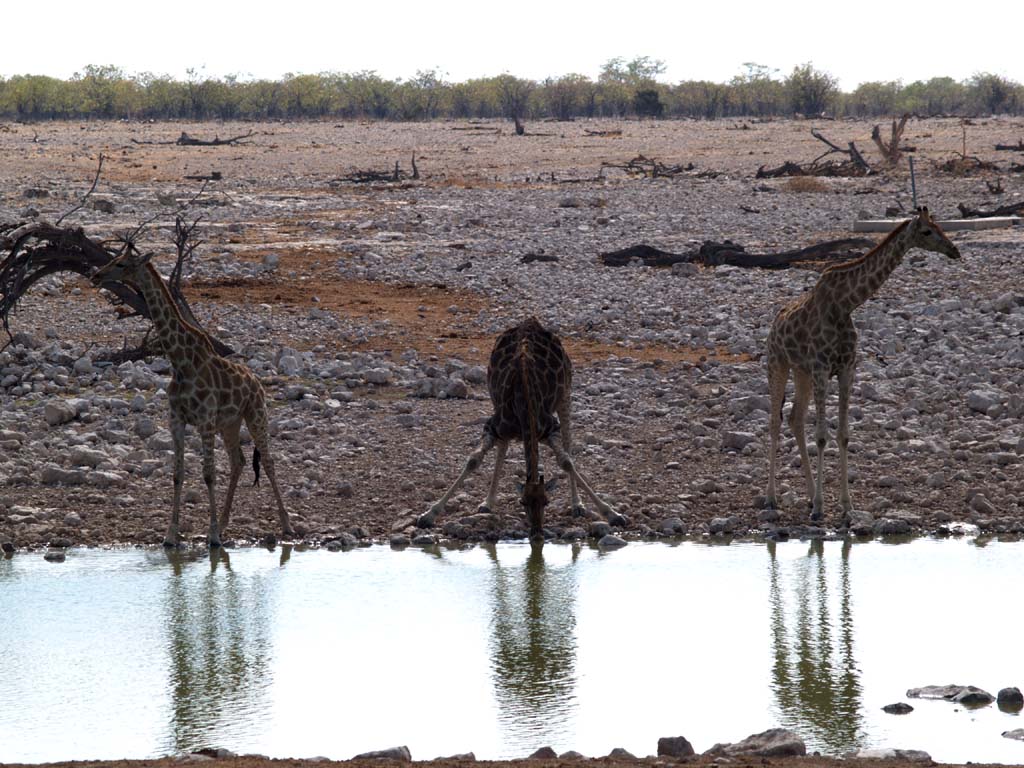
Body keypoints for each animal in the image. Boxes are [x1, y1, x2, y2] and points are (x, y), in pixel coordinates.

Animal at [91, 250, 293, 547]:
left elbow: (208, 474)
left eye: (121, 263)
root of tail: (257, 382)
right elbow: (178, 474)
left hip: (256, 414)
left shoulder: (205, 421)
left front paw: (211, 535)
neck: (180, 361)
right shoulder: (177, 420)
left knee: (267, 462)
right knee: (239, 462)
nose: (96, 275)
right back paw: (225, 524)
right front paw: (171, 535)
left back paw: (286, 525)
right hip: (230, 423)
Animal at [418, 317, 625, 539]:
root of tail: (531, 321)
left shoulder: (551, 428)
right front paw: (428, 515)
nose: (537, 533)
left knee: (568, 442)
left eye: (546, 502)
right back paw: (488, 503)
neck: (524, 401)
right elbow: (473, 460)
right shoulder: (492, 425)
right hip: (494, 399)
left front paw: (612, 514)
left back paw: (577, 505)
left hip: (566, 392)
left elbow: (566, 462)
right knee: (504, 446)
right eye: (522, 502)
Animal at [765, 208, 960, 521]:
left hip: (802, 372)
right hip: (778, 365)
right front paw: (820, 508)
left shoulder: (846, 369)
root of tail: (774, 324)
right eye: (927, 231)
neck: (845, 305)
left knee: (795, 419)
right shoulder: (822, 368)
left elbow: (843, 435)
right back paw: (771, 498)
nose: (954, 250)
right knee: (774, 422)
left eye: (941, 226)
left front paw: (846, 506)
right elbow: (822, 436)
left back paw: (808, 495)